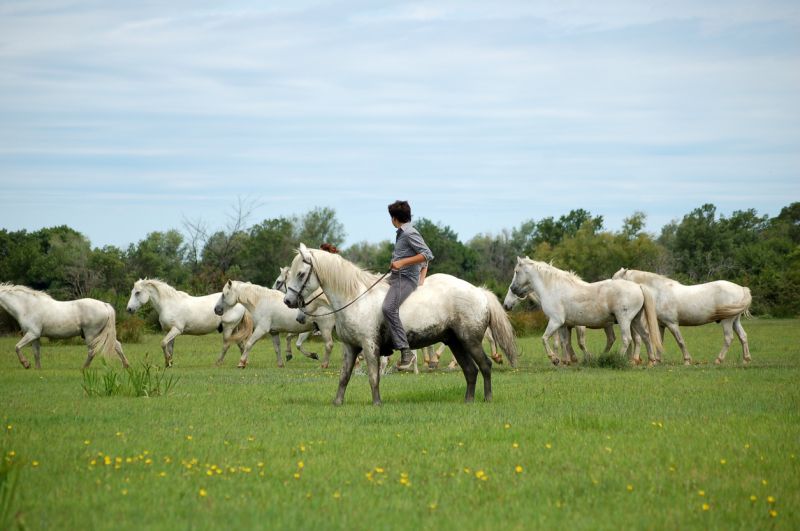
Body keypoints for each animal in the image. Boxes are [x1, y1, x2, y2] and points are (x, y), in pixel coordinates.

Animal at [0, 282, 128, 370]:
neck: (27, 306)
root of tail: (105, 305)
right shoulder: (35, 336)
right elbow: (36, 353)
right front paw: (37, 369)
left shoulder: (32, 334)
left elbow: (17, 347)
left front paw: (26, 364)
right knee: (117, 345)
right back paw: (126, 365)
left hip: (91, 335)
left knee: (92, 351)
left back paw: (84, 368)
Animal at [282, 245, 520, 408]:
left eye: (301, 274)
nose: (288, 301)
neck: (356, 297)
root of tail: (480, 292)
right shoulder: (350, 347)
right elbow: (343, 377)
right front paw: (337, 402)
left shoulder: (369, 346)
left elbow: (373, 375)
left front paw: (377, 403)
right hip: (455, 343)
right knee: (470, 370)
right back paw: (468, 400)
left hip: (470, 341)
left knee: (485, 365)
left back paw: (487, 398)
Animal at [500, 260, 664, 368]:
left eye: (516, 271)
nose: (513, 289)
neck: (553, 287)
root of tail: (638, 286)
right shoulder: (564, 325)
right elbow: (564, 342)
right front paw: (566, 361)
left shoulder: (556, 321)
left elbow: (545, 339)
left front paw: (555, 359)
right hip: (635, 320)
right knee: (645, 337)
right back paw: (650, 361)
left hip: (625, 320)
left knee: (627, 339)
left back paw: (617, 358)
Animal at [612, 268, 752, 364]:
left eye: (615, 280)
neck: (659, 292)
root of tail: (741, 289)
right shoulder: (661, 325)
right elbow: (659, 341)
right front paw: (657, 360)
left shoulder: (672, 324)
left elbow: (680, 341)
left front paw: (687, 360)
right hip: (735, 321)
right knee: (743, 337)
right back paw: (746, 359)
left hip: (727, 321)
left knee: (728, 338)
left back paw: (718, 359)